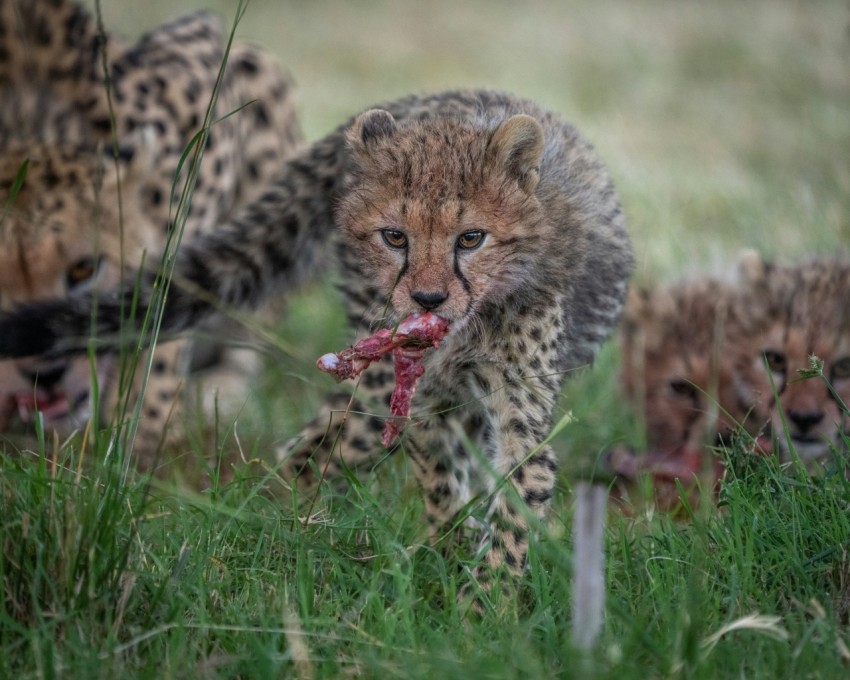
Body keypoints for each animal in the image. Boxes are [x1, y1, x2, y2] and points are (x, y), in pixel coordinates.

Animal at [0, 89, 633, 602]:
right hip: (373, 384)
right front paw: (462, 565)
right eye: (395, 237)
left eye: (471, 238)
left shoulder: (518, 406)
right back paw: (292, 537)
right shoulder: (421, 397)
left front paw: (487, 603)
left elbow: (518, 495)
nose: (427, 299)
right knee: (323, 447)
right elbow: (441, 481)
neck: (466, 332)